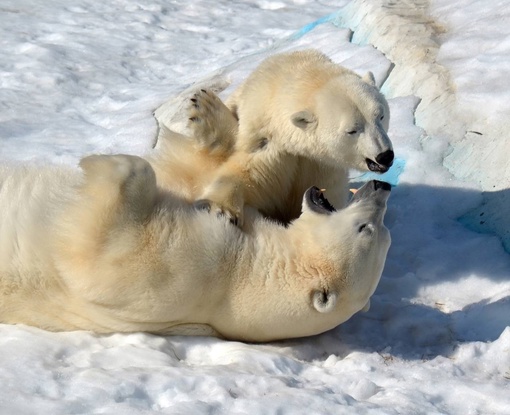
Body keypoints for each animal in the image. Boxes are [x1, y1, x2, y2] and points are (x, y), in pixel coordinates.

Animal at [0, 154, 390, 342]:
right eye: (379, 231)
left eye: (366, 228)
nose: (381, 186)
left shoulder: (196, 270)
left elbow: (97, 260)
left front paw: (102, 160)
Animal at [151, 48, 394, 228]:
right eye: (352, 130)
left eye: (381, 115)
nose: (385, 156)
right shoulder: (271, 143)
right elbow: (249, 175)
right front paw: (218, 209)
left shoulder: (324, 165)